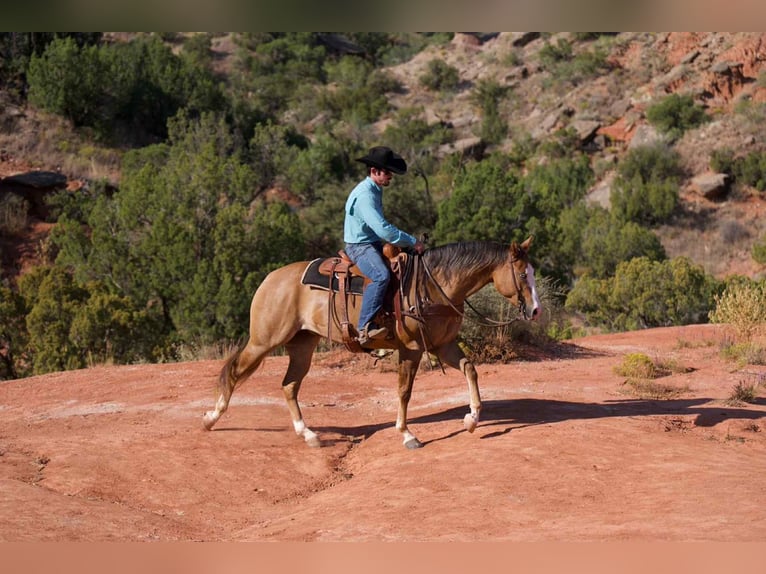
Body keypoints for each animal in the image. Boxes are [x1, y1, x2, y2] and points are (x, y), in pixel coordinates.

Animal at [202, 237, 541, 449]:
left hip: (302, 345)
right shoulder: (412, 349)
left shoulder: (442, 345)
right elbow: (404, 392)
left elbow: (470, 369)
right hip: (264, 341)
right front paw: (407, 434)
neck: (434, 285)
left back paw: (308, 434)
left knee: (289, 386)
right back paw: (211, 419)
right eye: (523, 275)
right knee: (235, 373)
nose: (536, 310)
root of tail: (270, 279)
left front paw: (472, 419)